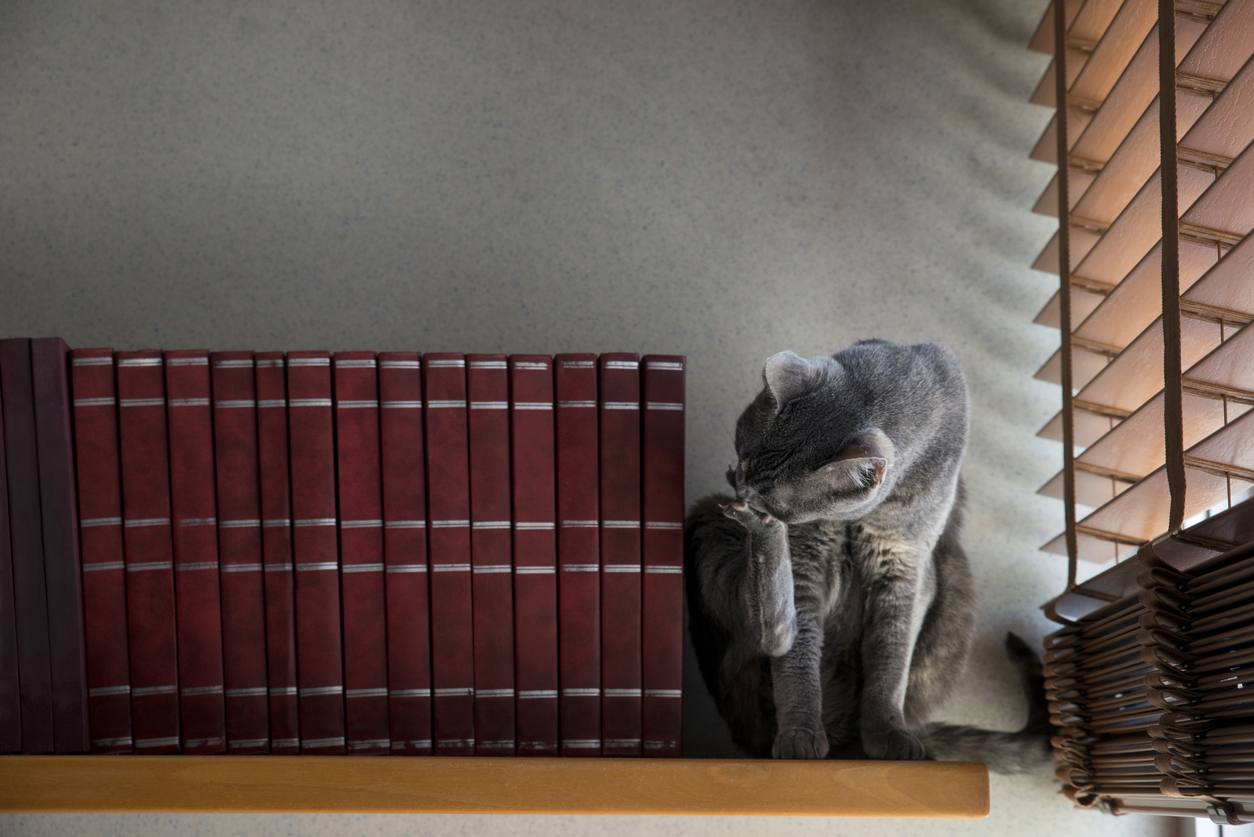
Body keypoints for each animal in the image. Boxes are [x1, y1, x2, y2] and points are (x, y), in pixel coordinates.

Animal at [687, 341, 1048, 773]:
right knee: (772, 635)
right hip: (707, 522)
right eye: (742, 461)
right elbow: (797, 657)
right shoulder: (806, 558)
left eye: (777, 501)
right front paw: (800, 735)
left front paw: (890, 737)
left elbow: (891, 660)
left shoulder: (906, 566)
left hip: (953, 584)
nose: (745, 495)